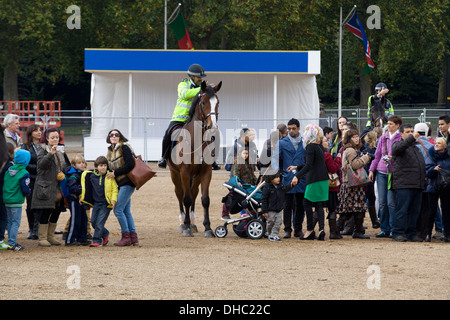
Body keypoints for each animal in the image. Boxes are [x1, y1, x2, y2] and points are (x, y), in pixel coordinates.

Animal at [168, 81, 222, 236]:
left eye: (217, 102)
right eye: (203, 102)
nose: (213, 126)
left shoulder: (206, 172)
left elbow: (205, 199)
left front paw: (208, 227)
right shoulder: (184, 172)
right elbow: (186, 199)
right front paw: (186, 227)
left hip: (195, 176)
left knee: (194, 193)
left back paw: (192, 223)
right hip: (175, 174)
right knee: (180, 194)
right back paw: (183, 223)